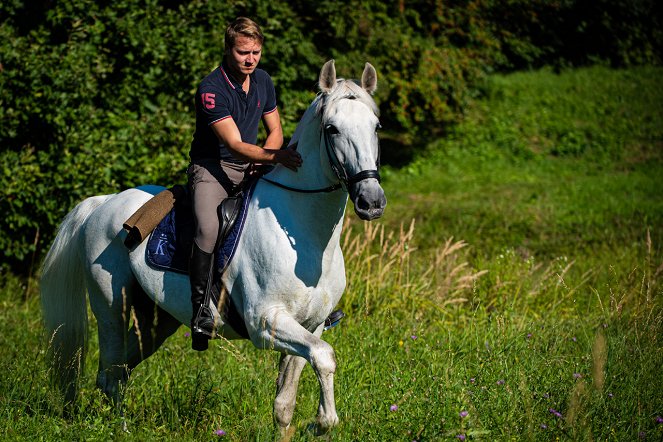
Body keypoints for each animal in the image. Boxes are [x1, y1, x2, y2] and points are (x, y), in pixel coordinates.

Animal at [40, 60, 384, 434]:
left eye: (376, 126)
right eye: (331, 129)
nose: (371, 201)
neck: (303, 236)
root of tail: (103, 202)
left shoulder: (312, 325)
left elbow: (286, 400)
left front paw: (308, 425)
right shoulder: (266, 323)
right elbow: (324, 357)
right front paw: (319, 423)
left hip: (154, 322)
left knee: (117, 372)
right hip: (111, 309)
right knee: (112, 372)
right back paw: (123, 431)